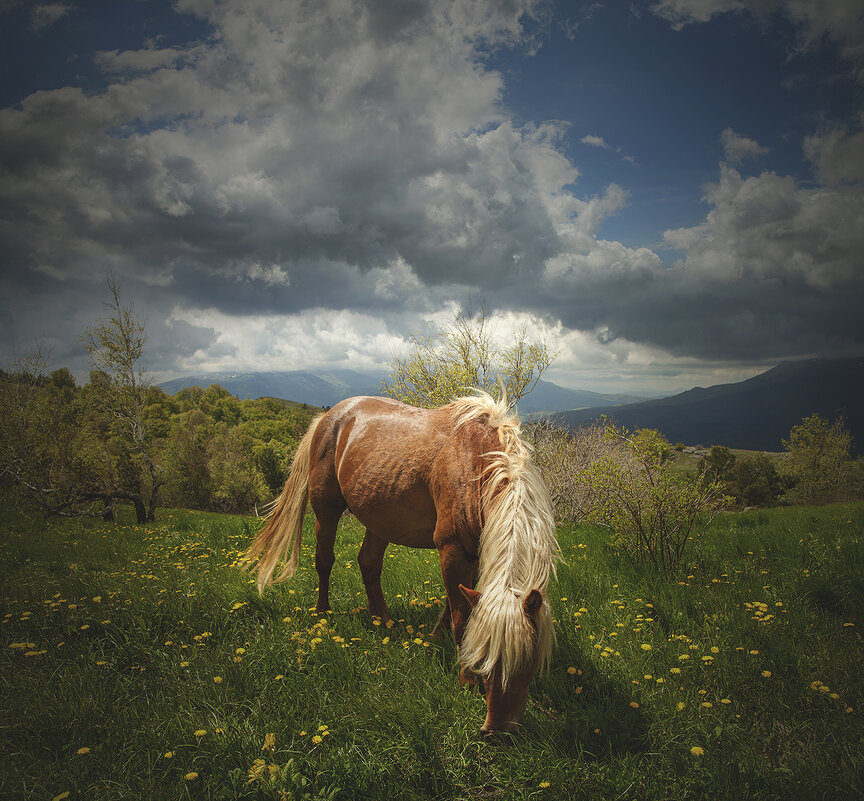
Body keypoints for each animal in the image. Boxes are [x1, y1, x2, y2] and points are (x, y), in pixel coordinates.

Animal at [241, 392, 560, 736]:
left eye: (528, 663)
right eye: (486, 659)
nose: (497, 732)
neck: (476, 460)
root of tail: (329, 417)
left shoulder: (474, 552)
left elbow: (456, 604)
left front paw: (436, 638)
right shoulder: (452, 548)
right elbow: (461, 616)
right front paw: (465, 680)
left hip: (379, 518)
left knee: (368, 564)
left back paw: (383, 620)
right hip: (326, 508)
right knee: (324, 561)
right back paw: (324, 613)